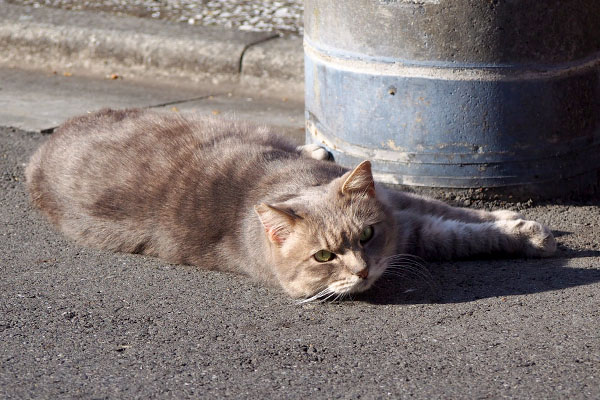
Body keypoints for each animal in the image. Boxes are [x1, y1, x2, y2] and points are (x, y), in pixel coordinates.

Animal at [25, 109, 556, 300]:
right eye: (323, 257)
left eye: (367, 235)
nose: (363, 271)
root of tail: (40, 152)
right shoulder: (411, 225)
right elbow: (454, 235)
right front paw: (524, 233)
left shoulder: (399, 205)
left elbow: (462, 216)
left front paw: (515, 223)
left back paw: (319, 149)